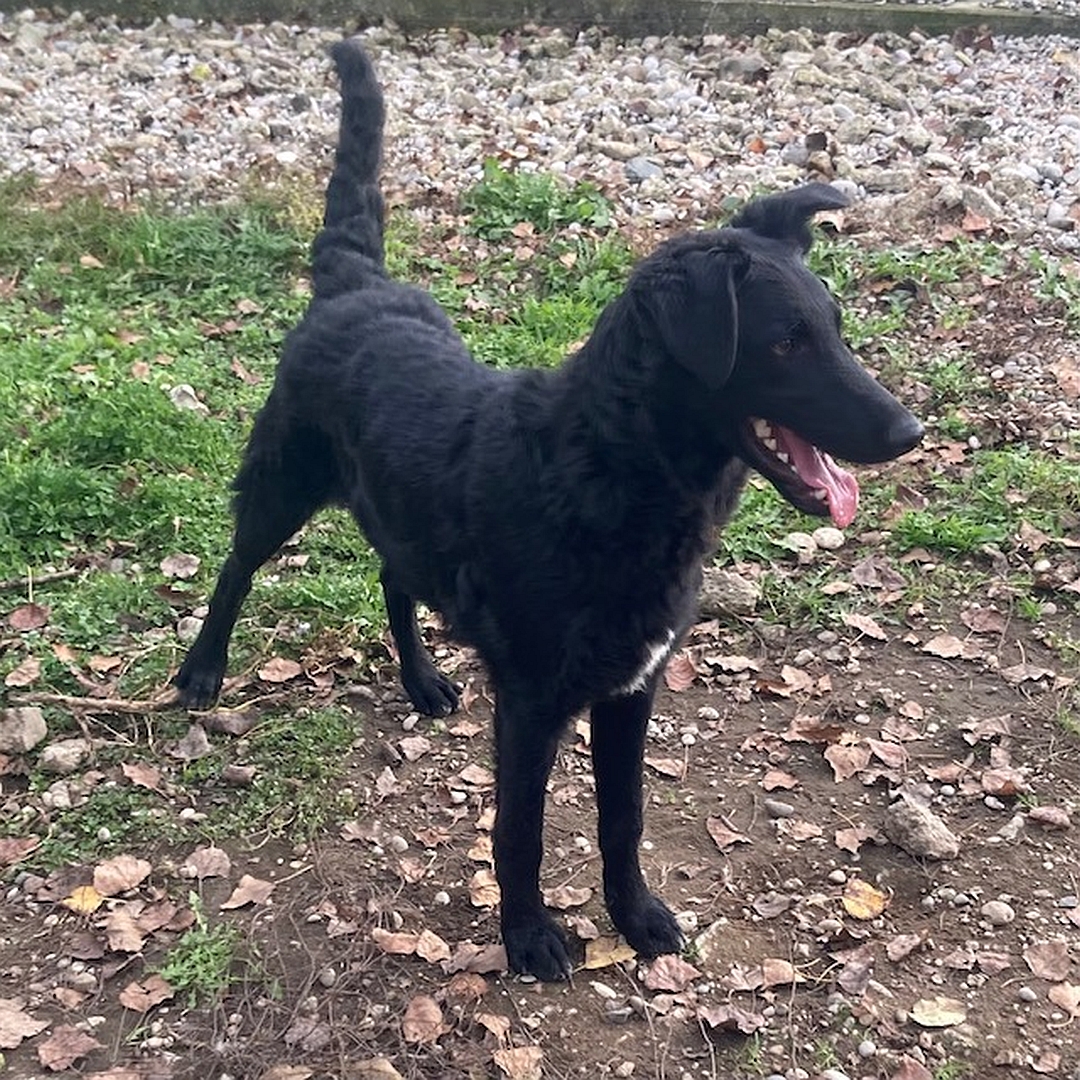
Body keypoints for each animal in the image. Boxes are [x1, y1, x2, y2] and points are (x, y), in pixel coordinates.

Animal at [172, 39, 924, 980]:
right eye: (787, 342)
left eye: (836, 327)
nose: (911, 431)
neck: (605, 471)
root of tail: (355, 283)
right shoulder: (532, 703)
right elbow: (520, 833)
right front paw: (529, 936)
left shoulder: (631, 690)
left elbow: (622, 819)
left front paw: (635, 917)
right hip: (282, 486)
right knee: (236, 566)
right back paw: (201, 670)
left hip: (393, 516)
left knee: (391, 576)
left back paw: (421, 679)